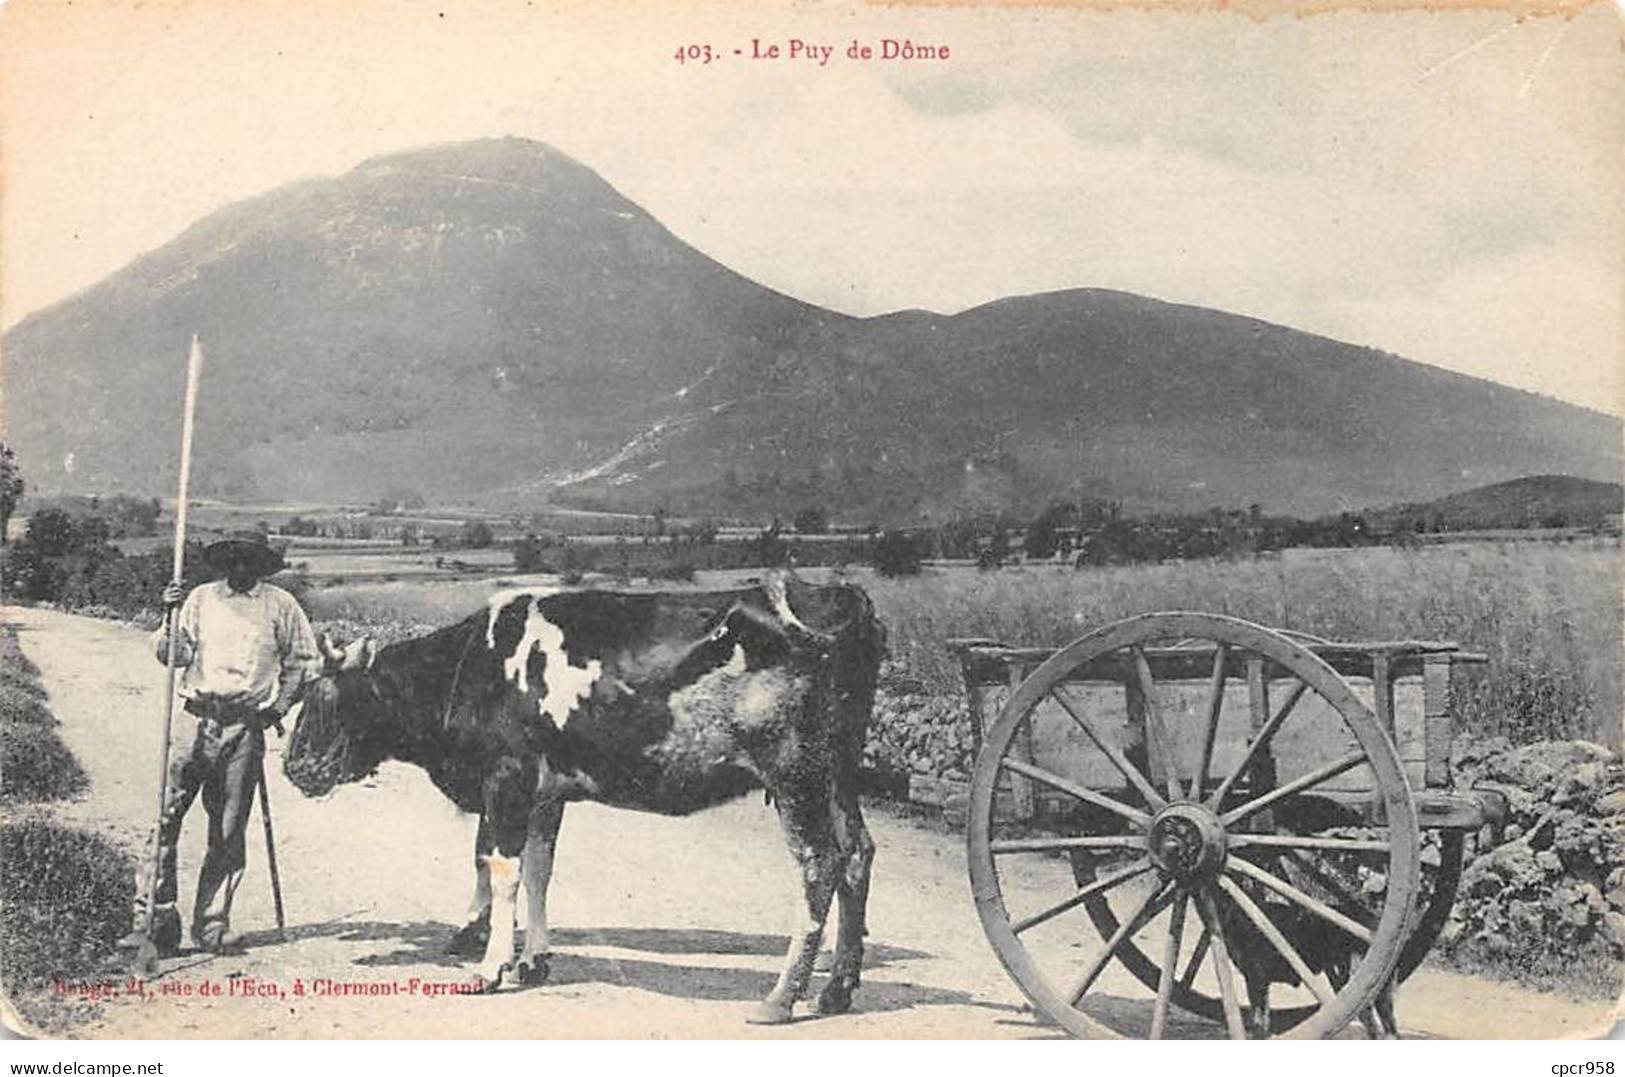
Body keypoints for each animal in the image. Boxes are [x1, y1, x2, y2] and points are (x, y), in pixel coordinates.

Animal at [286, 568, 884, 1026]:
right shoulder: (546, 794)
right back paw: (836, 990)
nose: (294, 768)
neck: (471, 667)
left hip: (795, 775)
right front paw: (534, 962)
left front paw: (490, 967)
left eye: (328, 698)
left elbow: (502, 870)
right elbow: (539, 870)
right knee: (857, 856)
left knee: (819, 865)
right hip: (839, 775)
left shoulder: (506, 778)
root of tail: (834, 594)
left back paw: (780, 999)